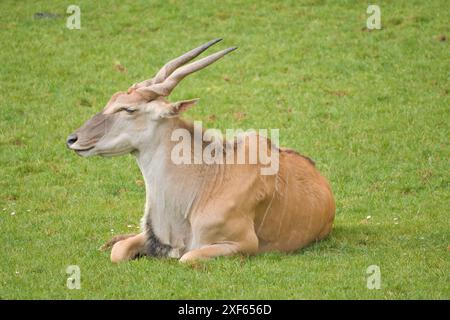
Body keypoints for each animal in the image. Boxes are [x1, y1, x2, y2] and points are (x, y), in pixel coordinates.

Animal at [66, 38, 334, 264]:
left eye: (128, 109)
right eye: (111, 101)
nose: (72, 139)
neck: (206, 181)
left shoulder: (242, 245)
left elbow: (186, 258)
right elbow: (119, 251)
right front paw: (114, 242)